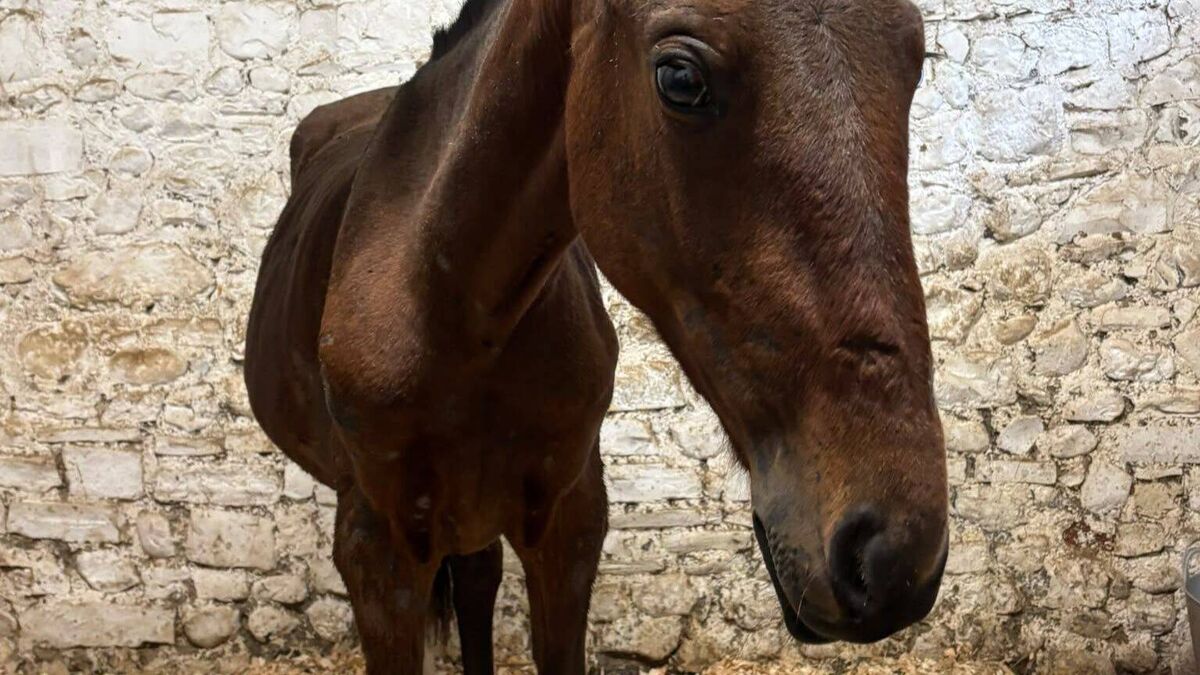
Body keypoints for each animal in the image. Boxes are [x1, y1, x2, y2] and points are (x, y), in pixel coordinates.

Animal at [243, 0, 948, 672]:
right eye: (680, 78)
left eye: (915, 58)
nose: (892, 556)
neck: (459, 325)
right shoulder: (379, 552)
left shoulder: (570, 522)